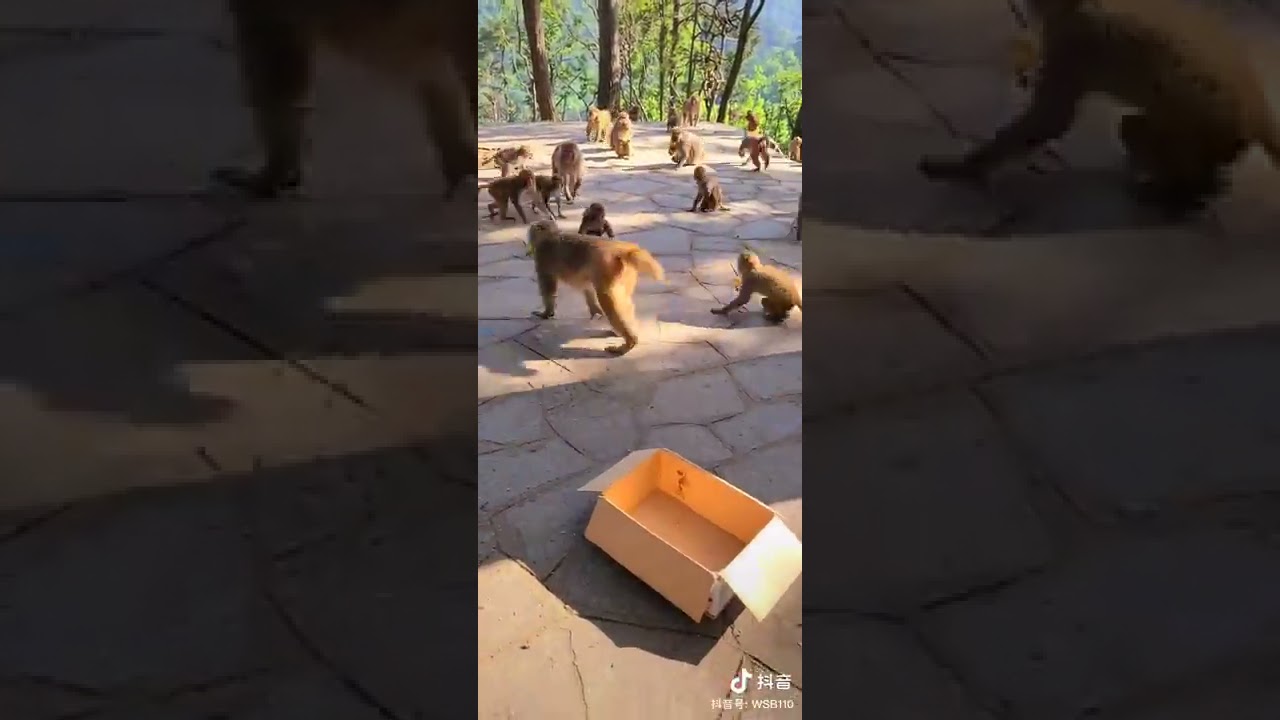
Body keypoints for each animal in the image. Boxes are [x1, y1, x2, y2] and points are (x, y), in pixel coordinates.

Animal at [526, 219, 665, 355]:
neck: (550, 235)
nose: (529, 239)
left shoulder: (542, 259)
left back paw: (629, 342)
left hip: (607, 267)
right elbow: (588, 288)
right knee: (621, 300)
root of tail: (621, 249)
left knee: (607, 298)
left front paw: (546, 313)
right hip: (625, 273)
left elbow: (548, 288)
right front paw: (595, 310)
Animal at [916, 0, 1280, 211]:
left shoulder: (1075, 39)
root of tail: (1256, 108)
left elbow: (1050, 119)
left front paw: (965, 167)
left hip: (1209, 126)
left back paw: (1182, 188)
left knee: (1145, 131)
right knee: (1134, 127)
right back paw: (1200, 181)